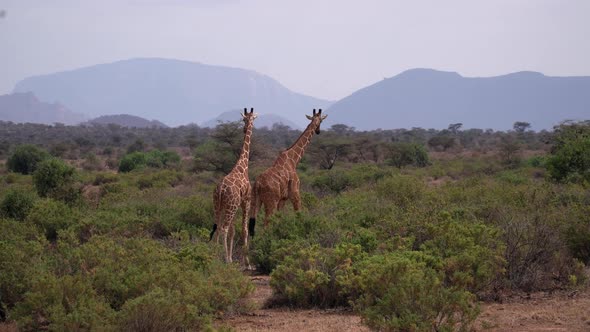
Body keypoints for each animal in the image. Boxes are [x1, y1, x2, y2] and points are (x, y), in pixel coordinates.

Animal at [213, 107, 260, 266]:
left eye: (245, 119)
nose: (245, 128)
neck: (242, 166)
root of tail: (221, 189)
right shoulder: (246, 201)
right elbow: (244, 230)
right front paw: (247, 262)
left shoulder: (235, 204)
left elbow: (234, 231)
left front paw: (232, 257)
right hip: (231, 206)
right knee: (224, 228)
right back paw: (224, 260)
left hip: (219, 205)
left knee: (217, 226)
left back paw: (213, 255)